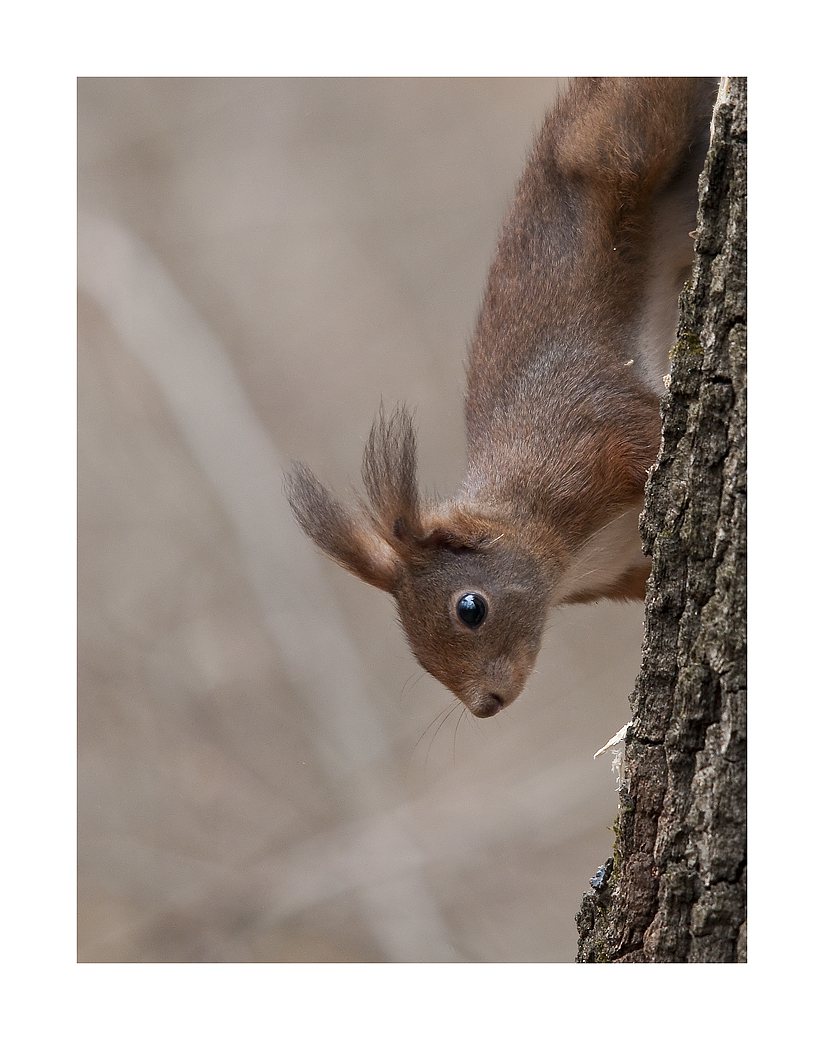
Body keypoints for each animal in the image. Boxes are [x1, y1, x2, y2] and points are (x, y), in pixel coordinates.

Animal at [287, 79, 715, 715]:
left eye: (471, 608)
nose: (485, 705)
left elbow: (647, 433)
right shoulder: (624, 570)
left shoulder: (589, 431)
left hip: (622, 140)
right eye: (416, 654)